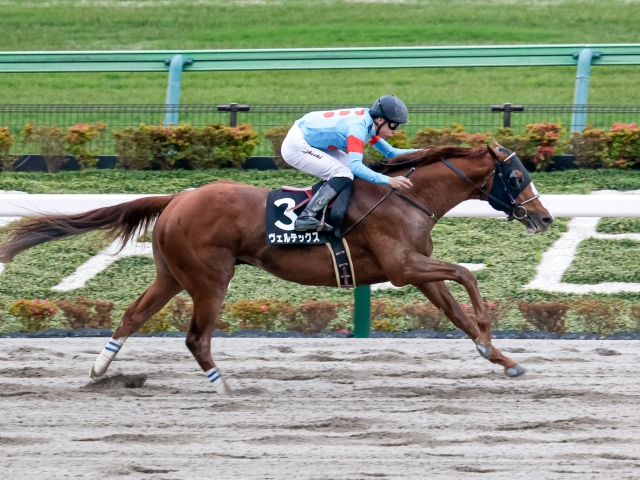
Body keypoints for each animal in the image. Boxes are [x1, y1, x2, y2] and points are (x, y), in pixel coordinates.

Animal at [0, 144, 552, 392]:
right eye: (516, 176)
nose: (544, 217)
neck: (407, 197)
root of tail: (177, 197)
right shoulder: (404, 266)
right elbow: (466, 274)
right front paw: (489, 333)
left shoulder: (414, 270)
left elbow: (455, 307)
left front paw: (500, 357)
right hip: (209, 278)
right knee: (196, 337)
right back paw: (222, 385)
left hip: (170, 274)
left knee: (134, 315)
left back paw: (99, 371)